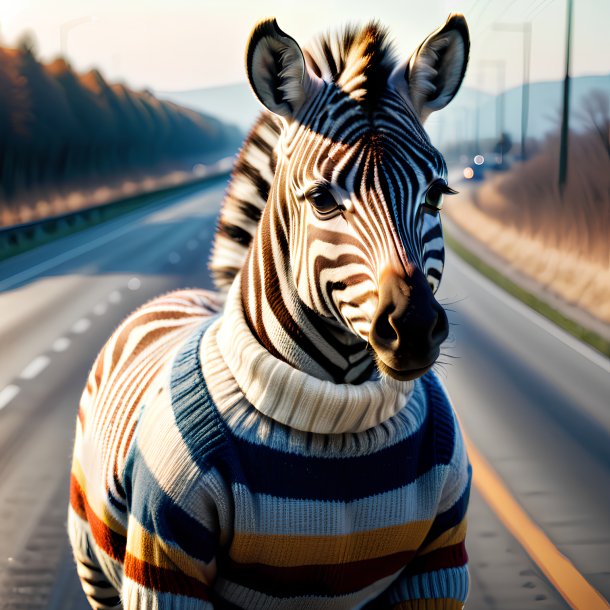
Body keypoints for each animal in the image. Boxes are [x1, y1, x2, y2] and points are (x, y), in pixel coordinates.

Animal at [70, 14, 470, 608]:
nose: (414, 328)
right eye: (322, 200)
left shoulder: (438, 563)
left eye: (438, 195)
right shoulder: (165, 567)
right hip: (93, 561)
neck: (334, 417)